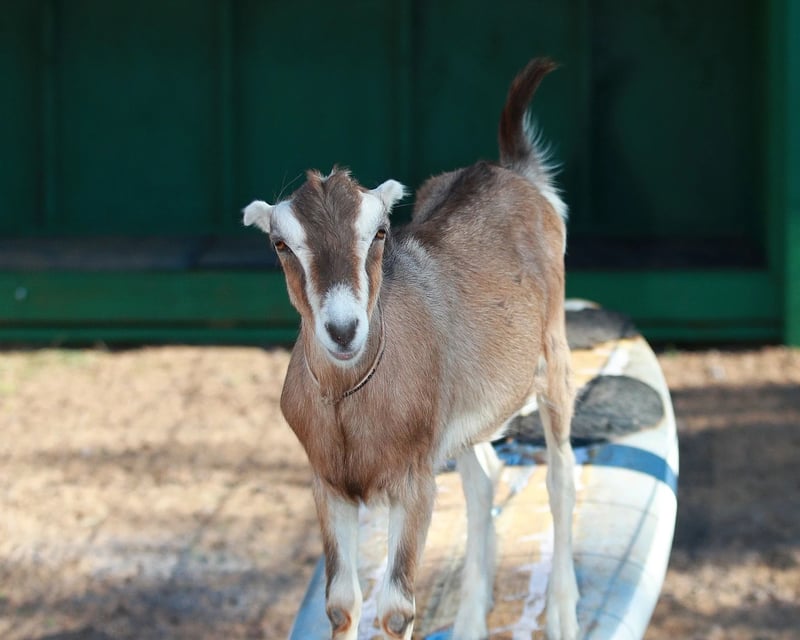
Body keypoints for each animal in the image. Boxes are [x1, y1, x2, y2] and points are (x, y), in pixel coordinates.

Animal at [244, 58, 578, 640]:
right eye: (281, 244)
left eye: (379, 232)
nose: (343, 330)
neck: (348, 402)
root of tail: (513, 172)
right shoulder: (328, 485)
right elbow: (342, 603)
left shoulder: (413, 482)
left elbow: (397, 608)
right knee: (484, 482)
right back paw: (470, 619)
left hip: (552, 356)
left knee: (560, 477)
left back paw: (561, 612)